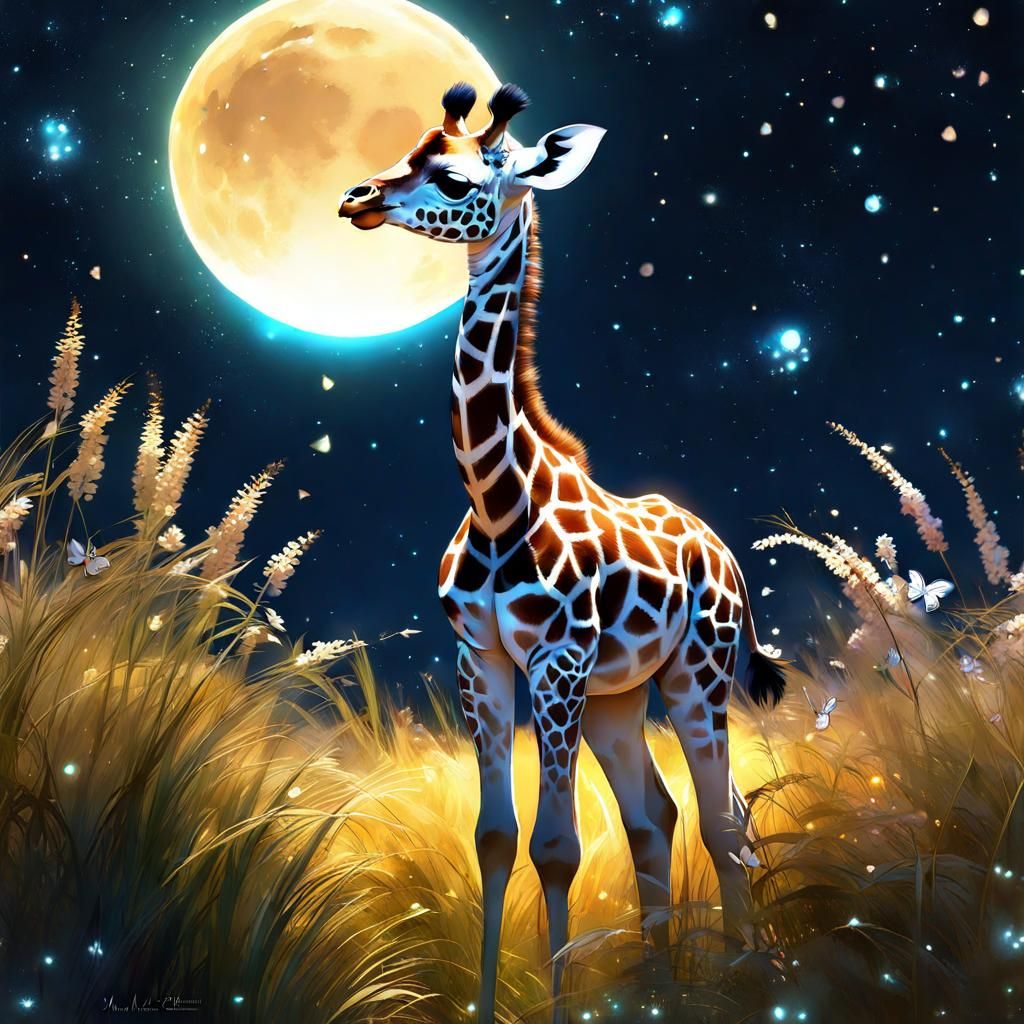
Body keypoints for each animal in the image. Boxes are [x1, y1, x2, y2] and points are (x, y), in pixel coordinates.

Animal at [339, 82, 787, 1024]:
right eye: (408, 149)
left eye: (457, 175)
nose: (356, 198)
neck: (498, 498)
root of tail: (727, 554)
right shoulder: (479, 658)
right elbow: (497, 839)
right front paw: (485, 1005)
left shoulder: (557, 660)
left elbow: (557, 848)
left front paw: (556, 1000)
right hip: (621, 698)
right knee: (659, 817)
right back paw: (664, 982)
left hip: (697, 675)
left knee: (725, 821)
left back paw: (746, 976)